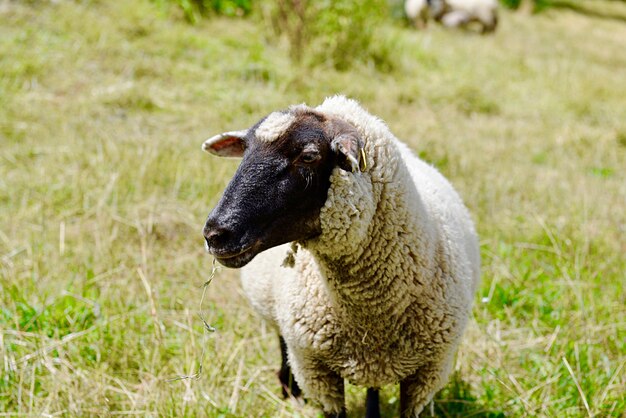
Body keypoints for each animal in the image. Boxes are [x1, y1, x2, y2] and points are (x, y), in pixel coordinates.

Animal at [200, 96, 478, 416]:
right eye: (245, 149)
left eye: (309, 156)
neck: (371, 314)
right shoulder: (316, 371)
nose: (215, 234)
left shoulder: (427, 375)